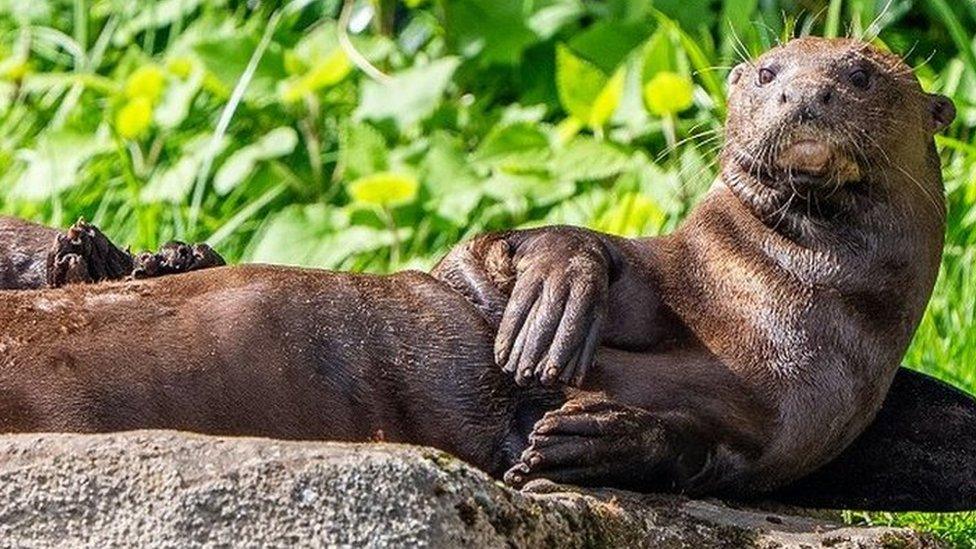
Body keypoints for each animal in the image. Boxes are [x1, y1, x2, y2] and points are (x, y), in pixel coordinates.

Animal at [0, 38, 972, 510]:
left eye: (858, 73)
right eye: (767, 70)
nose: (801, 93)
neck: (779, 301)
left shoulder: (782, 434)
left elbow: (702, 451)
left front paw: (585, 437)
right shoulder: (631, 267)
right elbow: (507, 253)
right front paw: (555, 303)